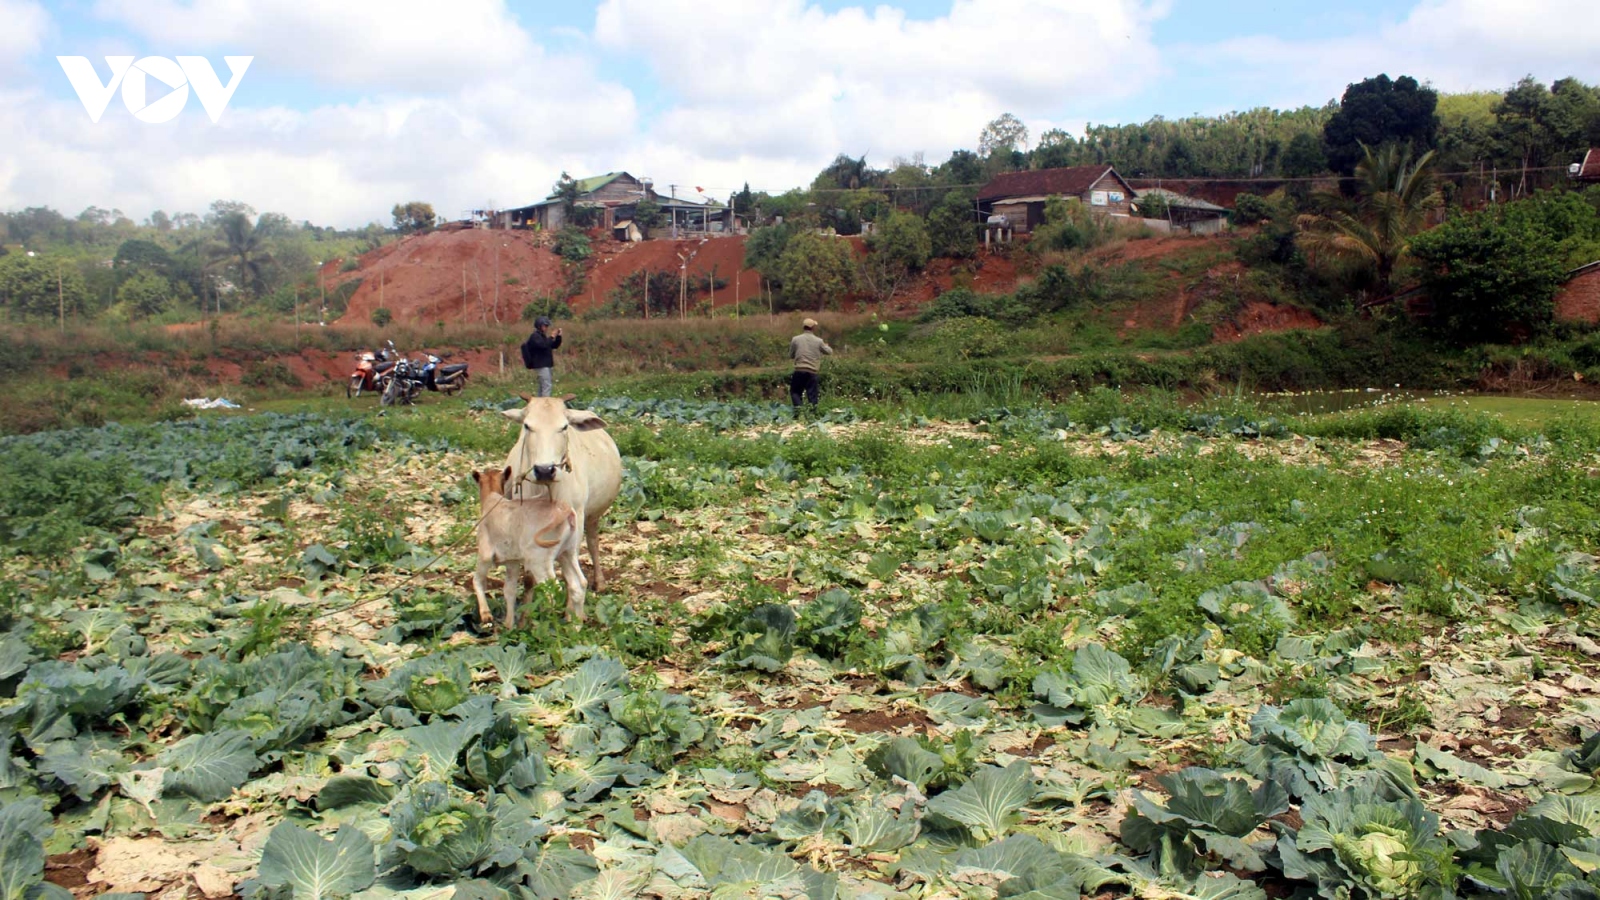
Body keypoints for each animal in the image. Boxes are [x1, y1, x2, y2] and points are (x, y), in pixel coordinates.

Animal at [467, 464, 588, 627]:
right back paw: (576, 626)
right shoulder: (512, 560)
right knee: (579, 584)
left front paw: (486, 615)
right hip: (568, 553)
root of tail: (565, 511)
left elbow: (478, 580)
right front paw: (509, 625)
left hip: (539, 560)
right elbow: (509, 590)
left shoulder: (485, 553)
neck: (492, 500)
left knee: (553, 590)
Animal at [502, 393, 620, 598]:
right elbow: (529, 575)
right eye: (527, 425)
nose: (544, 470)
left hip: (592, 516)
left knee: (593, 542)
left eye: (564, 426)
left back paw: (599, 582)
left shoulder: (577, 518)